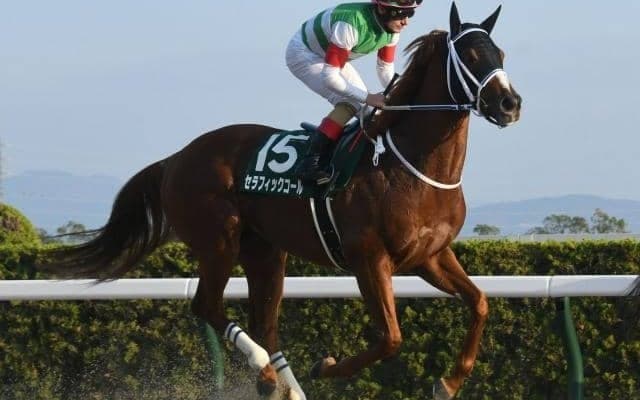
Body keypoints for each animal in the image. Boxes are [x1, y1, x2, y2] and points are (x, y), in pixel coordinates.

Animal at [40, 3, 521, 399]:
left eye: (500, 54)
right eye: (471, 56)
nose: (510, 104)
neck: (410, 166)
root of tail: (176, 158)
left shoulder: (430, 256)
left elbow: (479, 303)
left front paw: (449, 382)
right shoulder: (369, 257)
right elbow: (390, 337)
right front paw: (327, 365)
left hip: (266, 251)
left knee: (265, 325)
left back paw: (284, 387)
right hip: (219, 240)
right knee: (207, 305)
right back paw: (266, 372)